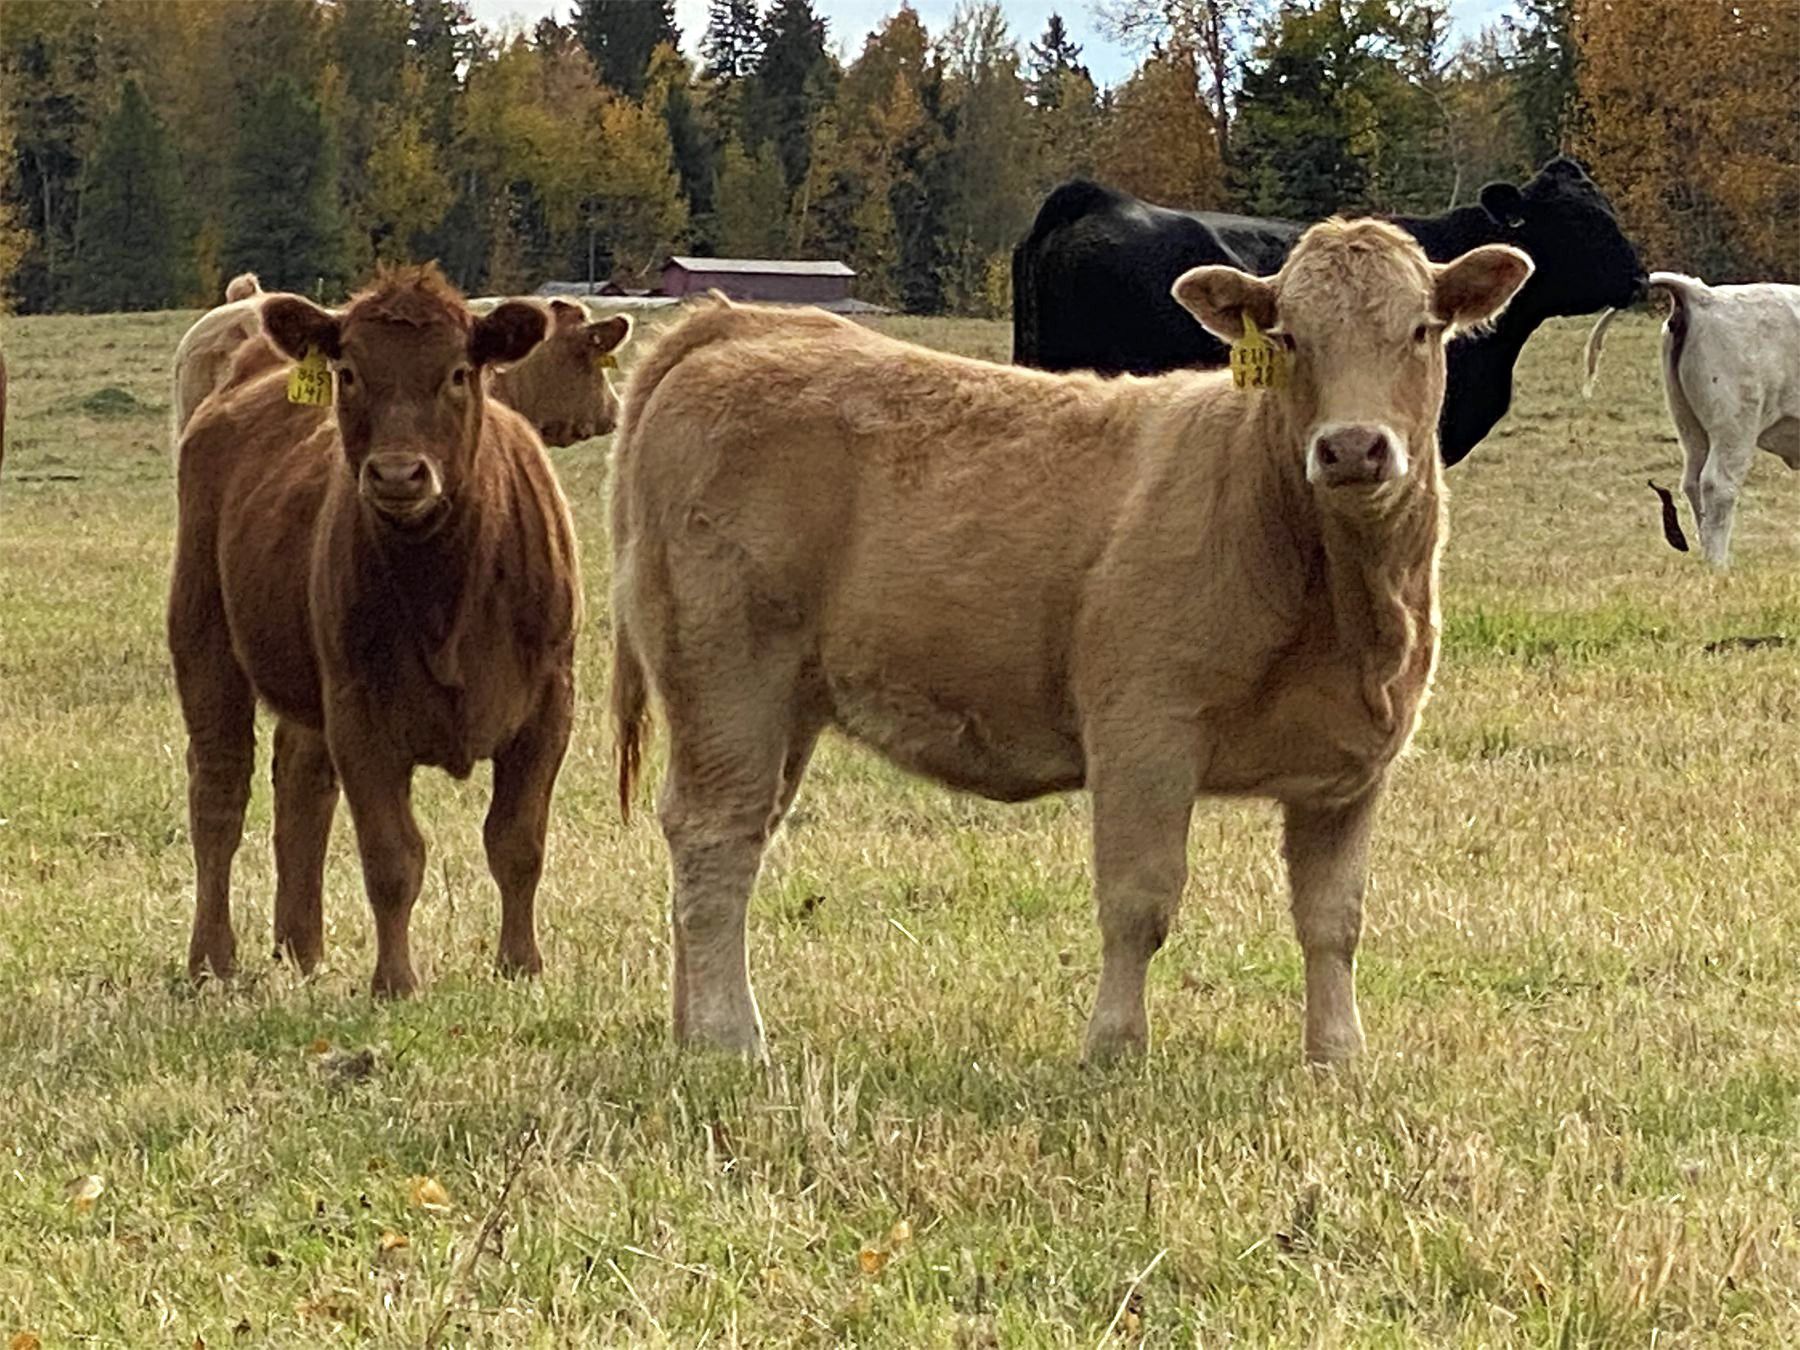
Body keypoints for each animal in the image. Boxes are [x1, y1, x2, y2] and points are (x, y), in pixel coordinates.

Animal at [169, 264, 582, 996]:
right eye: (351, 372)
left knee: (300, 783)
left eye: (458, 372)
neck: (446, 589)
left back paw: (301, 948)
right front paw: (395, 981)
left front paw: (521, 965)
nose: (397, 473)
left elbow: (517, 842)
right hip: (203, 635)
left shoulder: (549, 703)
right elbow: (392, 856)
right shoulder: (359, 711)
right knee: (220, 789)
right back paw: (212, 959)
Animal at [609, 219, 1532, 1064]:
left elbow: (1333, 919)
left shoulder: (1352, 769)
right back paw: (729, 1038)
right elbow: (1139, 901)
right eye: (1288, 337)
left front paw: (1337, 1056)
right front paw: (1116, 1048)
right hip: (728, 674)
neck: (1341, 603)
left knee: (724, 833)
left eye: (1421, 330)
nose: (1351, 448)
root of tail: (743, 323)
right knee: (717, 835)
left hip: (782, 700)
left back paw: (689, 1032)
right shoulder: (1144, 734)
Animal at [1586, 274, 1800, 565]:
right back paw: (1719, 564)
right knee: (1718, 486)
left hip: (1689, 425)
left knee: (1693, 483)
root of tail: (1702, 294)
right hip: (1734, 426)